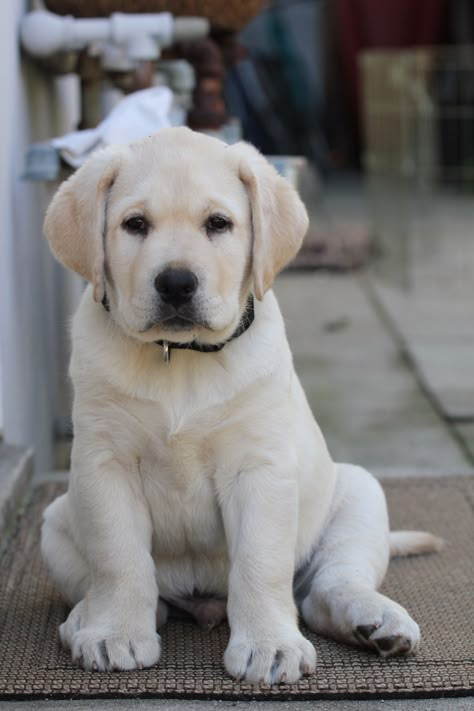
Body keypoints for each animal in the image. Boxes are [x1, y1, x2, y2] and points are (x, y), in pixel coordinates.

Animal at [41, 128, 440, 684]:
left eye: (218, 224)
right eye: (135, 224)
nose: (176, 283)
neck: (178, 357)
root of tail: (203, 601)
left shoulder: (259, 467)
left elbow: (260, 562)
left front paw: (269, 645)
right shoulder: (103, 464)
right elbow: (119, 558)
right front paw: (115, 632)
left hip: (359, 493)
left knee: (325, 588)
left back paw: (375, 620)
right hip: (56, 519)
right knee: (130, 591)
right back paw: (86, 618)